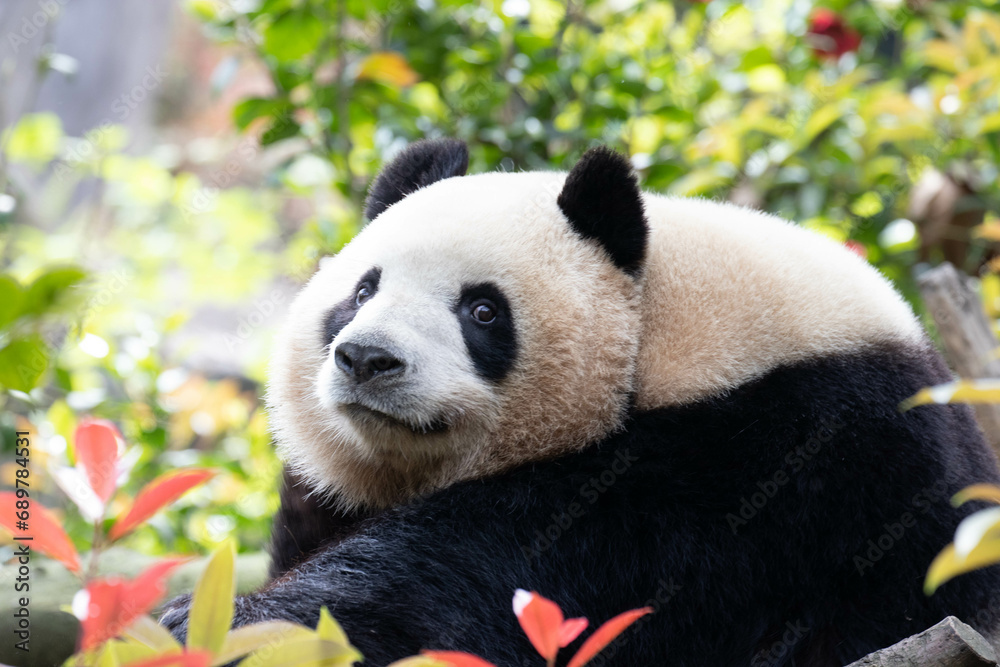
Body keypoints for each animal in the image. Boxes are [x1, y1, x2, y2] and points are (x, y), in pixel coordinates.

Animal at [162, 139, 1000, 666]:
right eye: (363, 290)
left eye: (483, 310)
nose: (368, 359)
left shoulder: (761, 454)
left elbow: (500, 579)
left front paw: (233, 624)